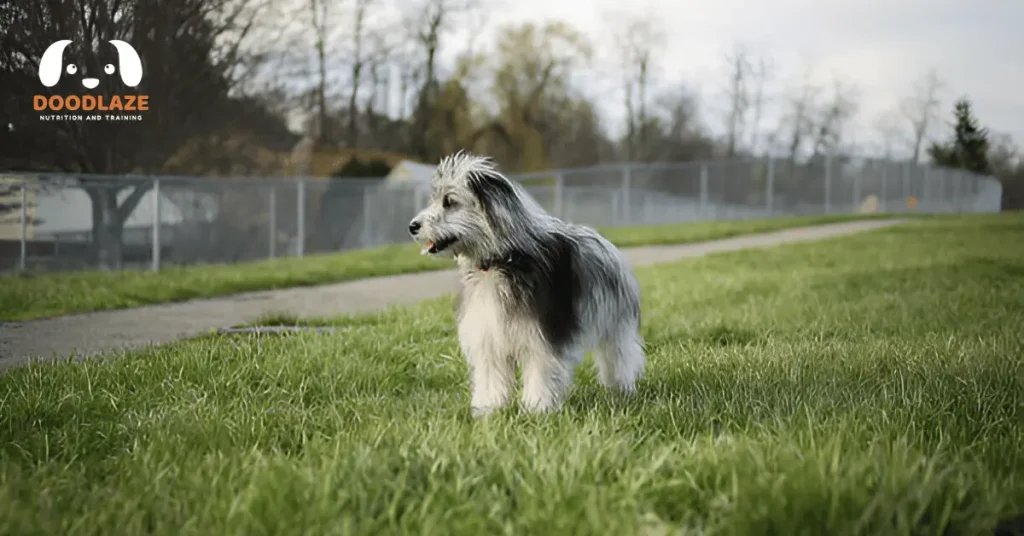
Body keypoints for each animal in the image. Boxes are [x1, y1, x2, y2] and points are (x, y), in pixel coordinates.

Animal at [405, 152, 638, 418]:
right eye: (434, 200)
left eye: (450, 202)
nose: (413, 226)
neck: (497, 264)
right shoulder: (488, 333)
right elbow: (490, 376)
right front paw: (489, 407)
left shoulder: (541, 335)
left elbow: (540, 371)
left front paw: (537, 409)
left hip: (614, 323)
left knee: (618, 355)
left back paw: (621, 388)